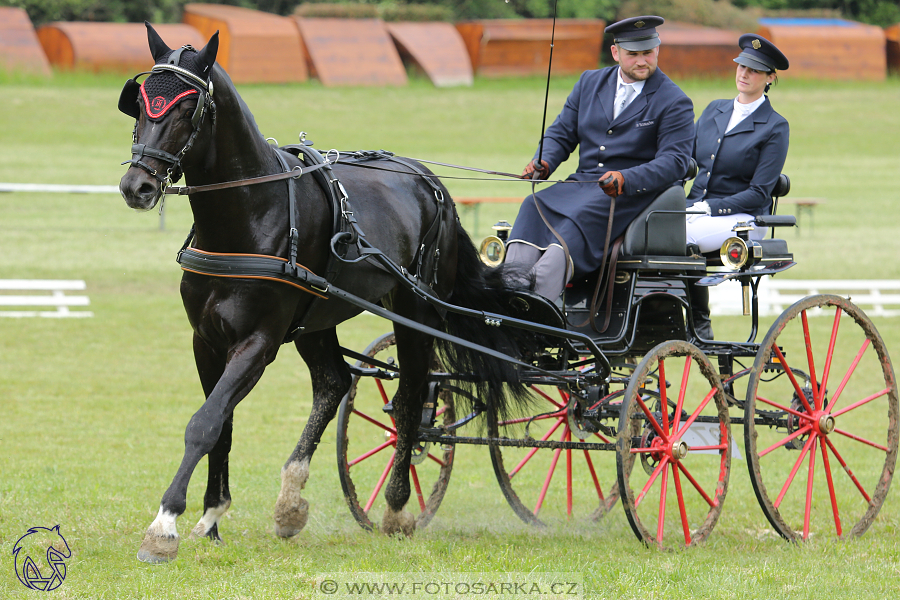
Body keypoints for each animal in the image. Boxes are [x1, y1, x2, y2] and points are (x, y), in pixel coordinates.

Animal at [119, 25, 528, 564]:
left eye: (189, 108)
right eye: (141, 103)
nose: (136, 185)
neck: (250, 213)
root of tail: (429, 179)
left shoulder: (258, 344)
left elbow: (204, 423)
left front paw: (164, 524)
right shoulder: (205, 340)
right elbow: (221, 423)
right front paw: (211, 517)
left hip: (416, 310)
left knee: (411, 395)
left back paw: (396, 506)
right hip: (317, 318)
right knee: (334, 382)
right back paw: (291, 502)